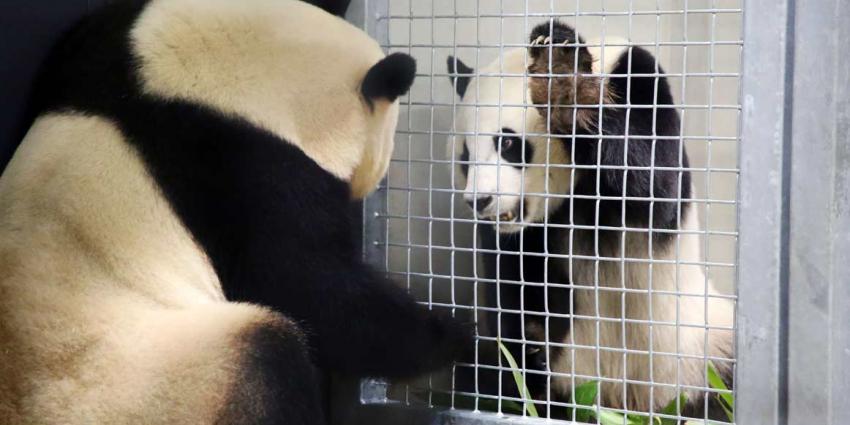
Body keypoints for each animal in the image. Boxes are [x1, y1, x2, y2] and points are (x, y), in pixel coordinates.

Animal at [0, 0, 470, 424]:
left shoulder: (99, 48)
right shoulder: (241, 170)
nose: (370, 182)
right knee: (267, 355)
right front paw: (452, 335)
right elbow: (303, 284)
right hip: (153, 377)